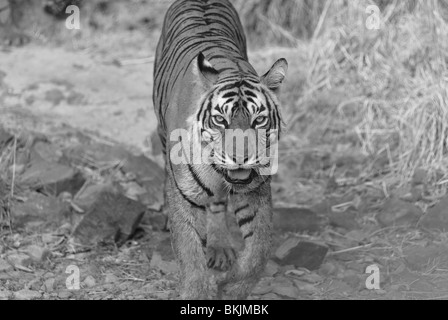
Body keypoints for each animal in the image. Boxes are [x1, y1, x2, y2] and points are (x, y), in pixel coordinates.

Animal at [153, 0, 288, 300]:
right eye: (220, 120)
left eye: (259, 120)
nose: (241, 158)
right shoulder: (184, 195)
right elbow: (190, 252)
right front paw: (197, 292)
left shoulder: (255, 191)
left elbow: (257, 253)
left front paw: (231, 286)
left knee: (217, 204)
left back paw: (220, 247)